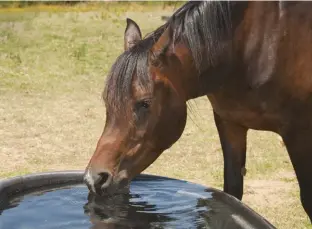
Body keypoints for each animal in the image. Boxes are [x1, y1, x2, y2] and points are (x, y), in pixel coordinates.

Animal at [84, 0, 312, 222]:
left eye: (144, 103)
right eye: (107, 101)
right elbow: (231, 193)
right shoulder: (229, 123)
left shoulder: (298, 132)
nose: (94, 179)